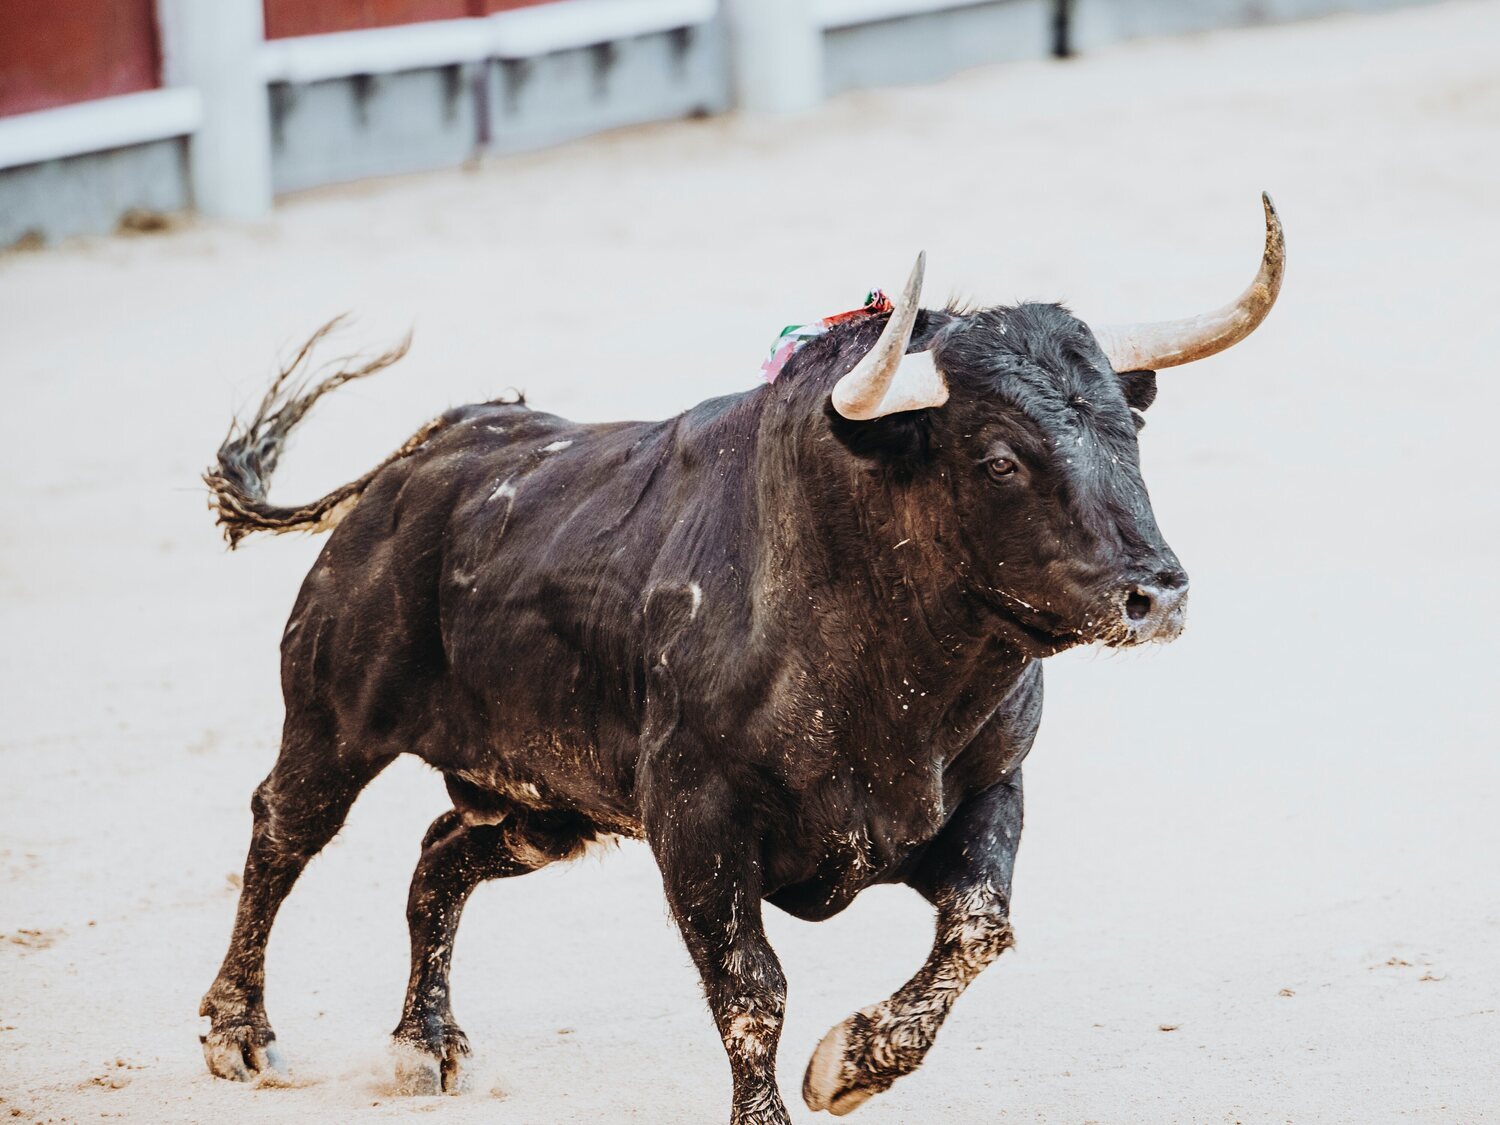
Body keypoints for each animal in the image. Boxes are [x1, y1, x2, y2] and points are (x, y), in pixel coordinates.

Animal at [196, 198, 1278, 1122]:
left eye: (1128, 431)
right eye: (1001, 457)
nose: (1156, 593)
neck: (892, 678)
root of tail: (417, 458)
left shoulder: (986, 787)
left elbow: (981, 925)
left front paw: (851, 1066)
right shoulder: (697, 823)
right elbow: (753, 989)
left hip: (544, 804)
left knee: (439, 854)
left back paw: (426, 1043)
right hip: (332, 723)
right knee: (280, 830)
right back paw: (238, 1031)